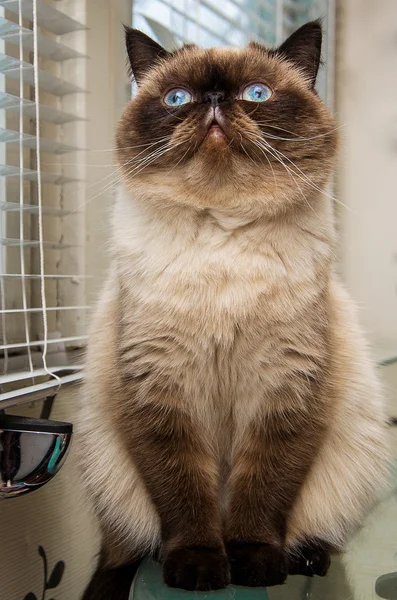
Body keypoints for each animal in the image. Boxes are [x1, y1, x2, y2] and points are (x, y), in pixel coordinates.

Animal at [79, 19, 388, 600]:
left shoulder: (287, 388)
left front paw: (252, 564)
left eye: (256, 94)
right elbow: (185, 496)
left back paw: (302, 559)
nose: (216, 100)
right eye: (177, 99)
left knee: (312, 529)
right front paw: (199, 570)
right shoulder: (159, 390)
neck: (221, 233)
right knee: (124, 552)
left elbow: (262, 492)